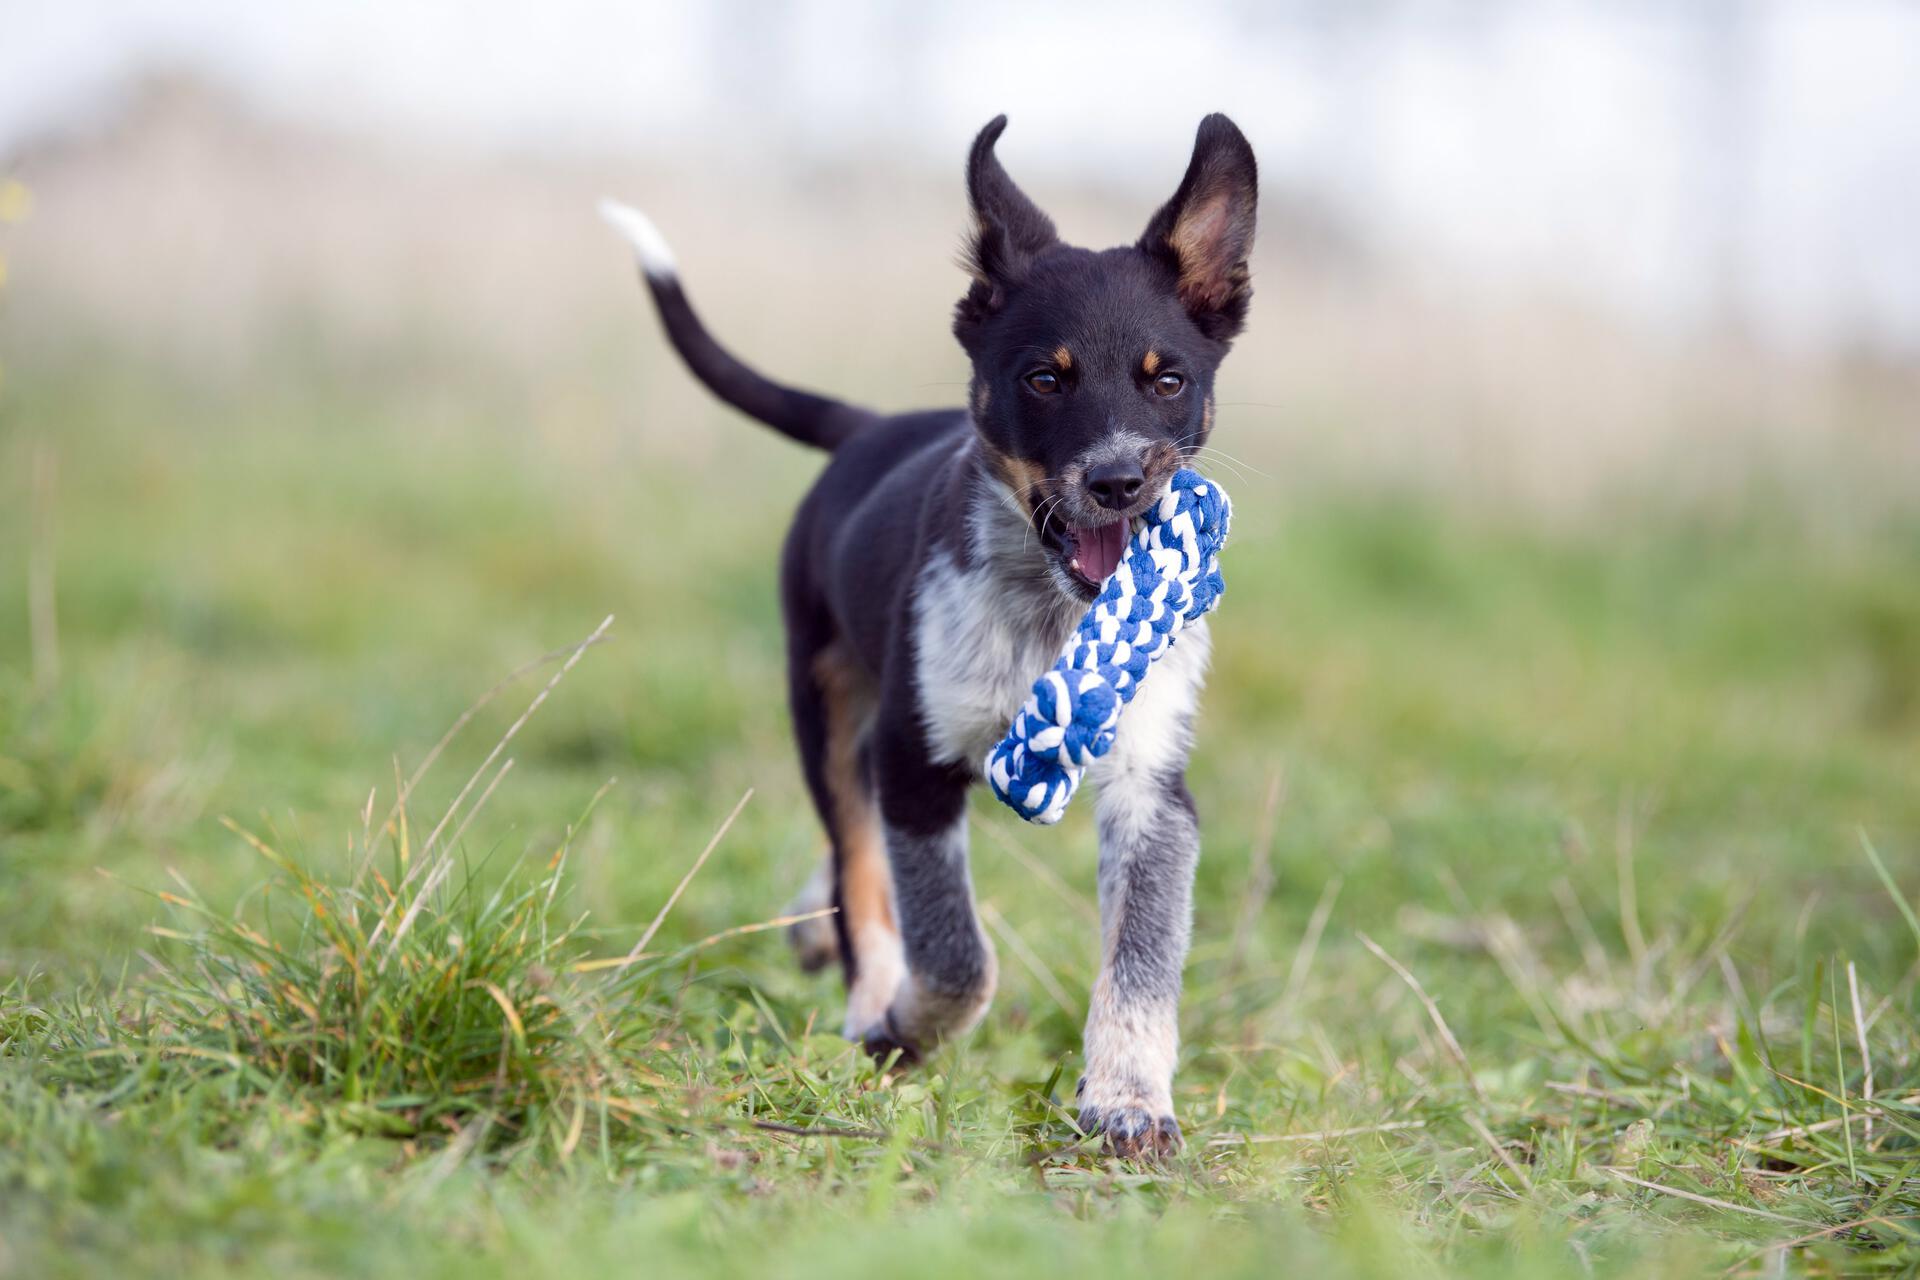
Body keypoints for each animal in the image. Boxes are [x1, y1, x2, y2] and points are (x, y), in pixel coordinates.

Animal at [602, 112, 1259, 1159]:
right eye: (1044, 378)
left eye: (1168, 381)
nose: (1120, 482)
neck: (1049, 620)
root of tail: (866, 429)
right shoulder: (915, 757)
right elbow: (954, 953)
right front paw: (900, 1026)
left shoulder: (1154, 786)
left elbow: (1144, 953)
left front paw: (1129, 1101)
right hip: (827, 703)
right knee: (858, 853)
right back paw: (863, 982)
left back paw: (812, 927)